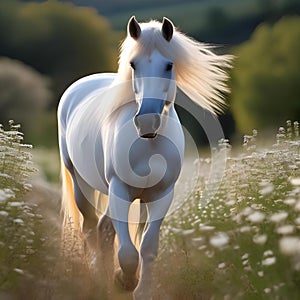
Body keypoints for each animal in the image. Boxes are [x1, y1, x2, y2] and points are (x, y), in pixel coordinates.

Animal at [58, 16, 232, 300]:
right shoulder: (119, 190)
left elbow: (147, 247)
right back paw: (98, 280)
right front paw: (125, 280)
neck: (149, 144)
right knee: (90, 228)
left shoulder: (162, 195)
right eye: (133, 64)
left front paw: (138, 288)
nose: (147, 122)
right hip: (80, 183)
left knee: (104, 229)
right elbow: (128, 253)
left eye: (169, 65)